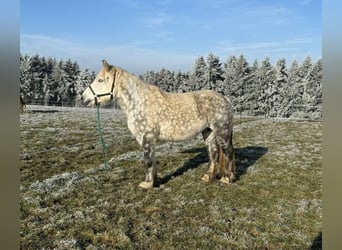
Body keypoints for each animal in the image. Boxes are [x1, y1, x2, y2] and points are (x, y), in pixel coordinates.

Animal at [82, 60, 235, 188]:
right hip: (208, 131)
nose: (83, 98)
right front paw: (155, 181)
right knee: (213, 152)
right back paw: (208, 176)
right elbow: (152, 159)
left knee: (227, 152)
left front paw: (147, 184)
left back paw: (227, 178)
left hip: (222, 131)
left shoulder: (147, 137)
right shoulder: (148, 139)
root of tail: (225, 99)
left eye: (100, 80)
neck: (139, 102)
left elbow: (147, 160)